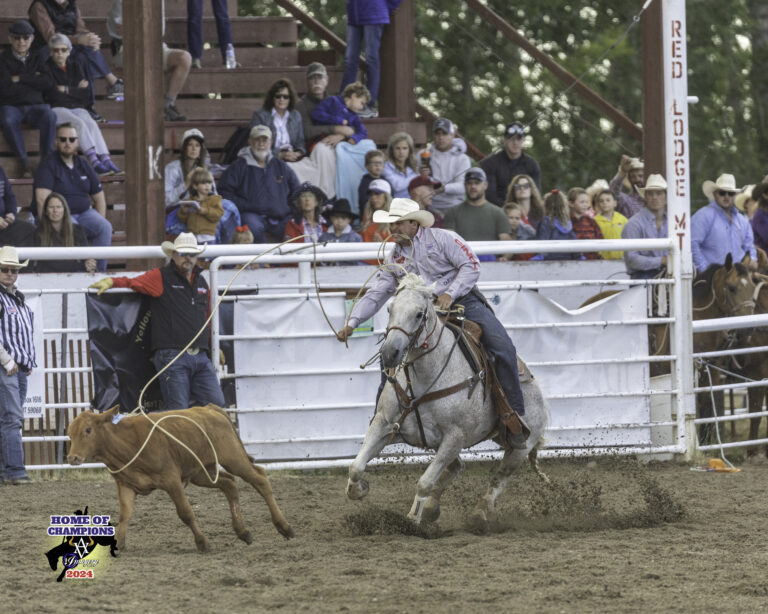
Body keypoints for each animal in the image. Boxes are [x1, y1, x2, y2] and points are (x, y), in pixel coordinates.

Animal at [67, 406, 294, 556]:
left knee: (260, 479)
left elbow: (185, 513)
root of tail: (212, 409)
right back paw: (243, 532)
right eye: (69, 434)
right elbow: (125, 515)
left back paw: (284, 527)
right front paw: (119, 544)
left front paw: (202, 543)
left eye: (88, 430)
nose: (72, 458)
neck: (125, 441)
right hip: (202, 473)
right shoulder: (126, 485)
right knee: (229, 484)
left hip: (234, 459)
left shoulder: (171, 480)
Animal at [344, 276, 548, 532]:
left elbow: (424, 481)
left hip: (520, 446)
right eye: (390, 309)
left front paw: (412, 520)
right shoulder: (384, 424)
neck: (424, 377)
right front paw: (361, 489)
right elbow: (356, 466)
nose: (390, 353)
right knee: (458, 467)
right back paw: (433, 508)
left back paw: (478, 513)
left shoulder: (455, 438)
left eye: (419, 314)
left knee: (498, 477)